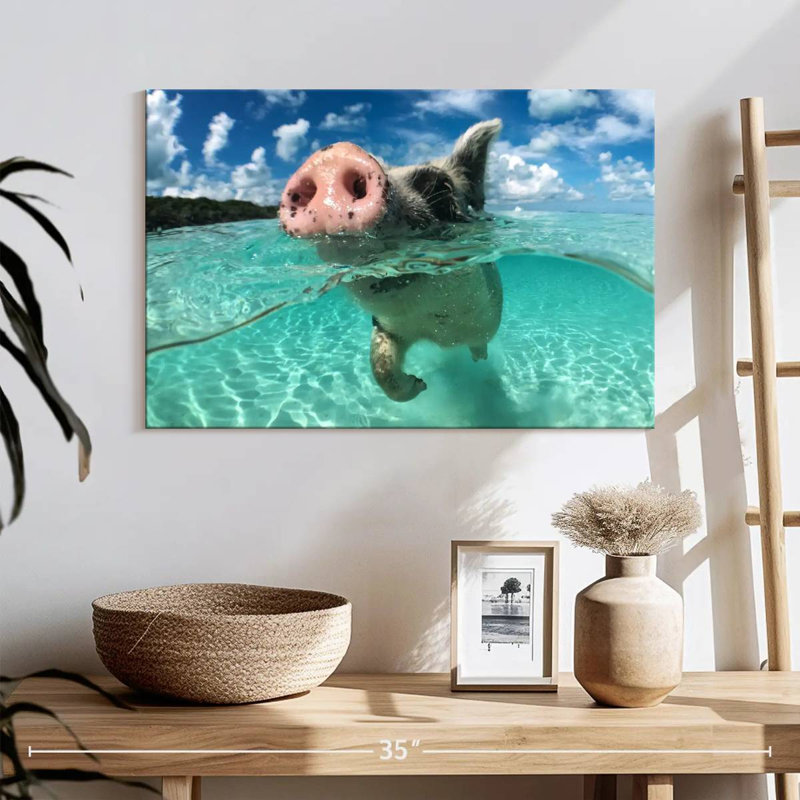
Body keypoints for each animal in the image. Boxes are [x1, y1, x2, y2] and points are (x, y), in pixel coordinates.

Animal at [279, 119, 504, 402]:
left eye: (440, 187)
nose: (331, 157)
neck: (438, 330)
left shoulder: (484, 319)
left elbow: (479, 341)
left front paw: (473, 361)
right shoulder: (387, 326)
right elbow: (380, 366)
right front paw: (421, 385)